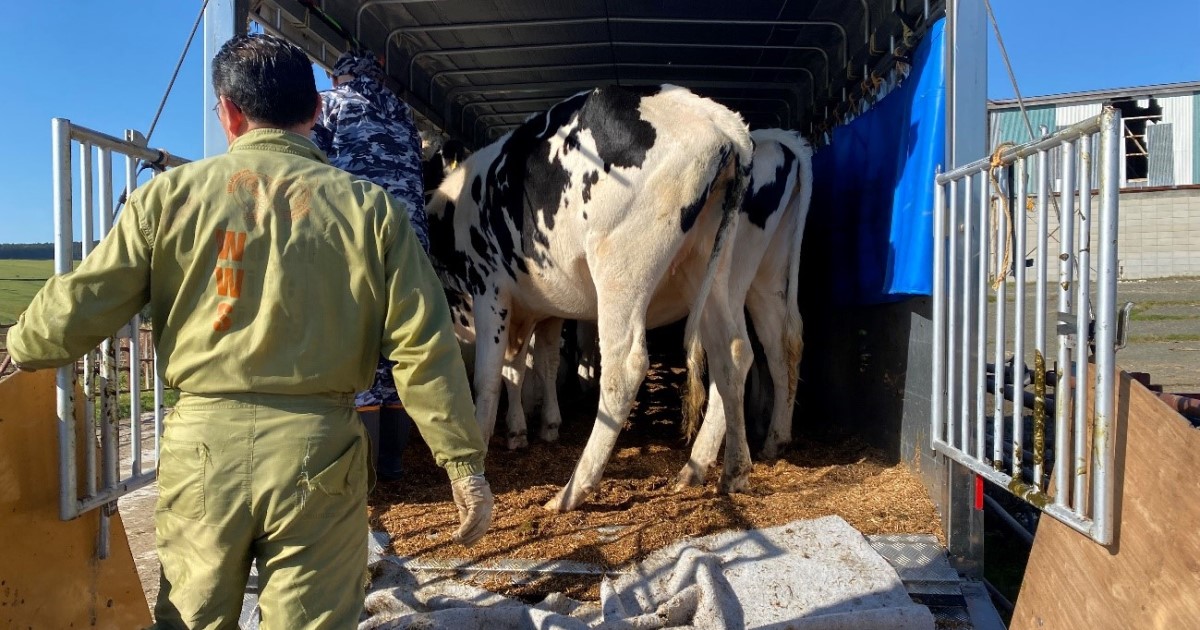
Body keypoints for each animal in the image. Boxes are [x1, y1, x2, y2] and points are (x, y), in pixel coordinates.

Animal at [427, 83, 753, 511]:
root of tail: (717, 119)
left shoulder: (488, 287)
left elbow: (489, 375)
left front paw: (481, 445)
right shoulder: (542, 307)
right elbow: (531, 365)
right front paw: (529, 429)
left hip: (621, 268)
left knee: (624, 367)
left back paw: (572, 490)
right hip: (711, 269)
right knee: (732, 352)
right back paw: (721, 470)